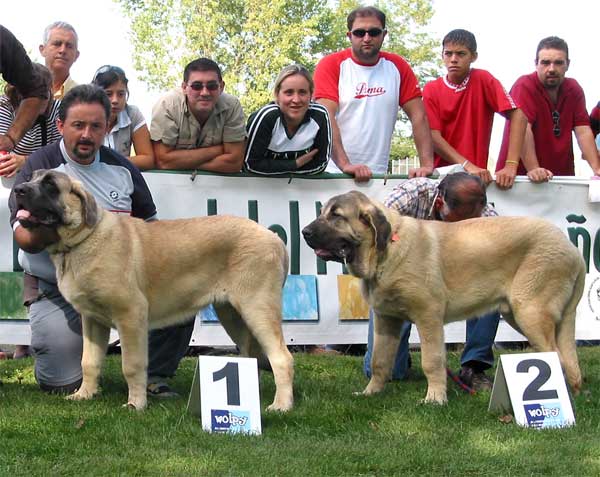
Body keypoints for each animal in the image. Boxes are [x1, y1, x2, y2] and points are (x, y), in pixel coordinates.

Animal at [14, 169, 296, 410]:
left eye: (50, 185)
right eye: (31, 178)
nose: (18, 189)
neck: (82, 240)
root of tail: (274, 237)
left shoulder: (130, 314)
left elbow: (132, 364)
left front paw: (135, 404)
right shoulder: (92, 320)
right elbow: (89, 361)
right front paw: (85, 394)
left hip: (257, 308)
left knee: (282, 358)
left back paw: (281, 405)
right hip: (232, 314)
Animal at [302, 190, 584, 402]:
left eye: (336, 216)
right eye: (322, 212)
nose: (304, 232)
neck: (384, 252)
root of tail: (573, 250)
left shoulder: (429, 317)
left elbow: (432, 360)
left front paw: (435, 398)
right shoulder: (386, 320)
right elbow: (380, 361)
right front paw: (370, 393)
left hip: (529, 311)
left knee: (556, 356)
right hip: (522, 314)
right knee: (566, 358)